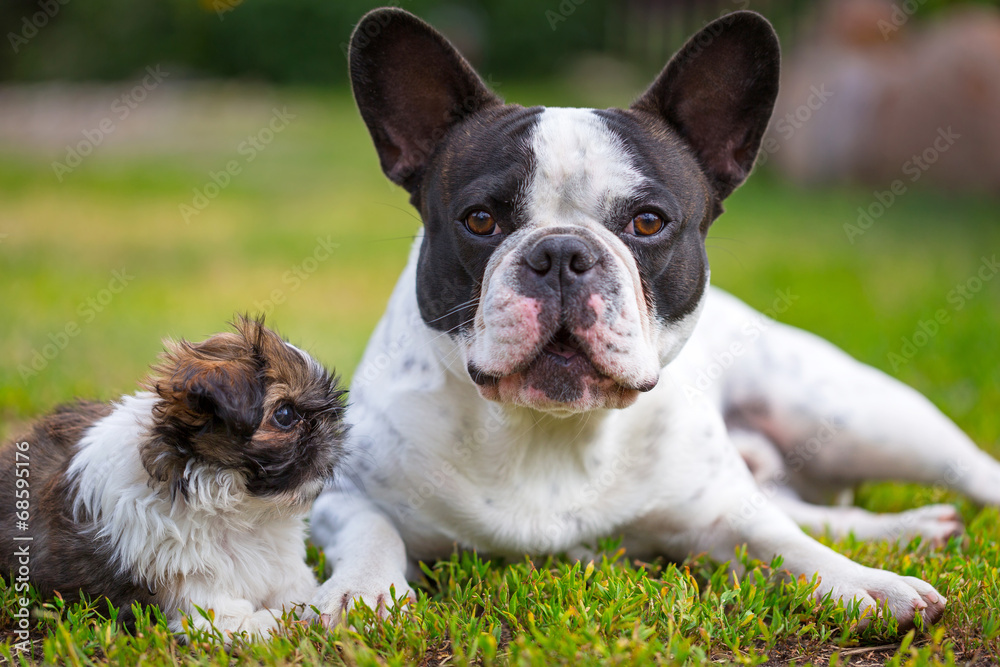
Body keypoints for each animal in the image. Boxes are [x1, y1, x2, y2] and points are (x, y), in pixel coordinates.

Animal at [0, 318, 344, 640]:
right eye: (285, 415)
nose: (331, 428)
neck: (241, 513)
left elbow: (300, 593)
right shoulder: (202, 601)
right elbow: (260, 621)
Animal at [308, 6, 1000, 632]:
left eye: (647, 222)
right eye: (480, 220)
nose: (562, 254)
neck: (552, 433)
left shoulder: (723, 513)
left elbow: (787, 543)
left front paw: (865, 583)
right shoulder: (336, 497)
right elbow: (373, 528)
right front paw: (361, 594)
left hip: (855, 415)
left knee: (954, 474)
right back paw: (913, 527)